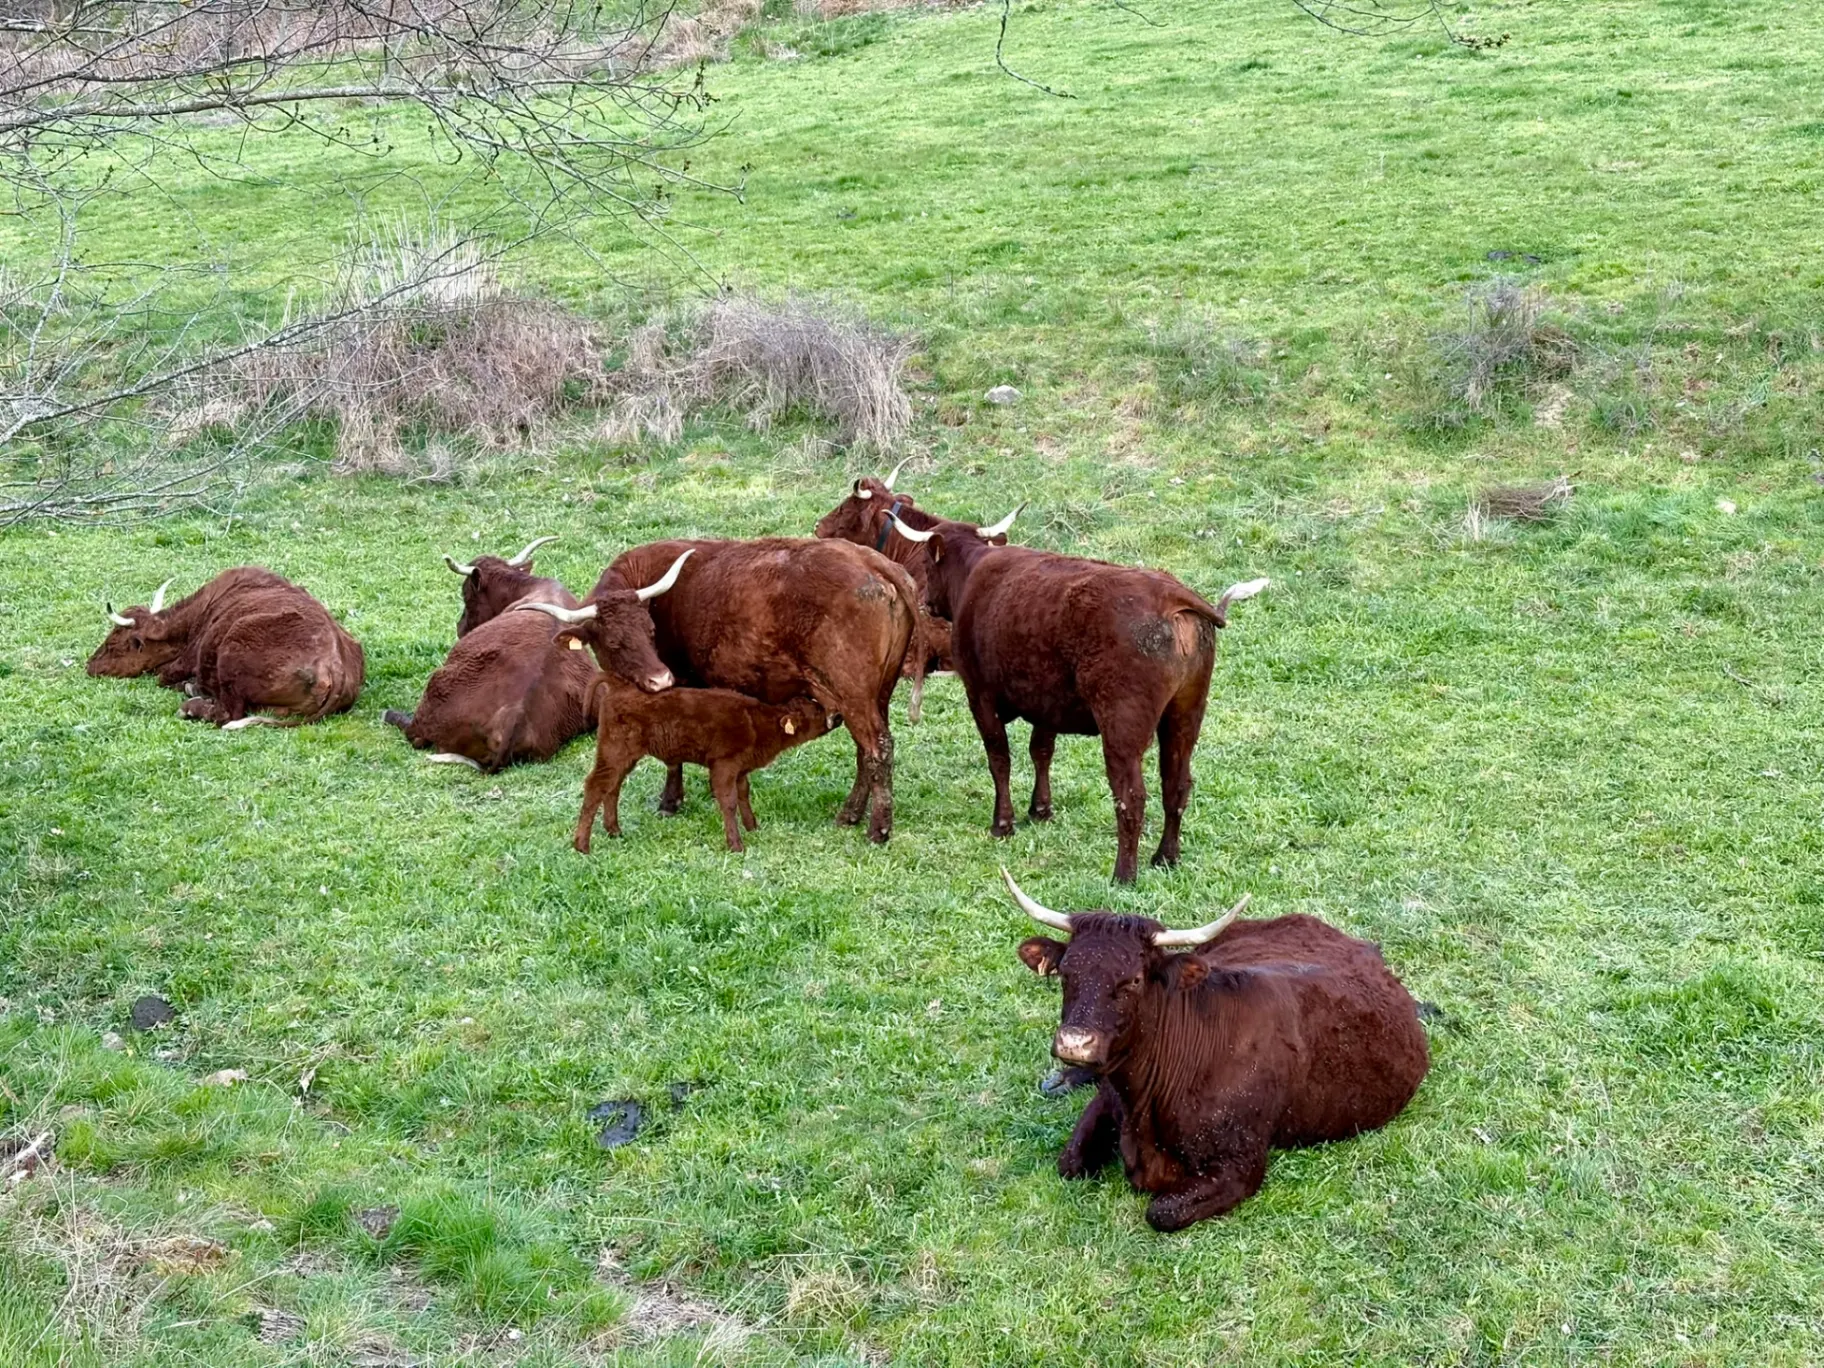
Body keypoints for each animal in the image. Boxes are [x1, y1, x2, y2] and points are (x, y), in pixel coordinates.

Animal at [87, 567, 364, 729]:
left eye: (113, 644)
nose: (90, 666)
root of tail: (335, 665)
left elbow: (164, 676)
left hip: (233, 651)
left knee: (229, 714)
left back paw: (191, 705)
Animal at [585, 538, 920, 844]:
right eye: (614, 642)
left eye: (650, 631)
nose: (659, 678)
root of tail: (869, 560)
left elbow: (673, 755)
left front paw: (670, 801)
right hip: (878, 695)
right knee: (865, 751)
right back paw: (850, 814)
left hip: (854, 696)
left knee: (877, 748)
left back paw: (877, 829)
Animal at [892, 511, 1266, 882]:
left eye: (926, 562)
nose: (925, 601)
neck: (975, 571)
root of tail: (1169, 593)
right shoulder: (1047, 703)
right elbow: (1041, 751)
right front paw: (1040, 809)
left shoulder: (980, 695)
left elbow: (1000, 759)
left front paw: (1003, 823)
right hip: (1184, 718)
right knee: (1176, 785)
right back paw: (1165, 857)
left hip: (1122, 731)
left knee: (1132, 797)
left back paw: (1123, 874)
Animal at [1003, 869, 1429, 1232]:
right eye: (1066, 973)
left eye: (1134, 980)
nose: (1075, 1043)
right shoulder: (1107, 1100)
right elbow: (1070, 1163)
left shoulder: (1240, 1168)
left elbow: (1161, 1212)